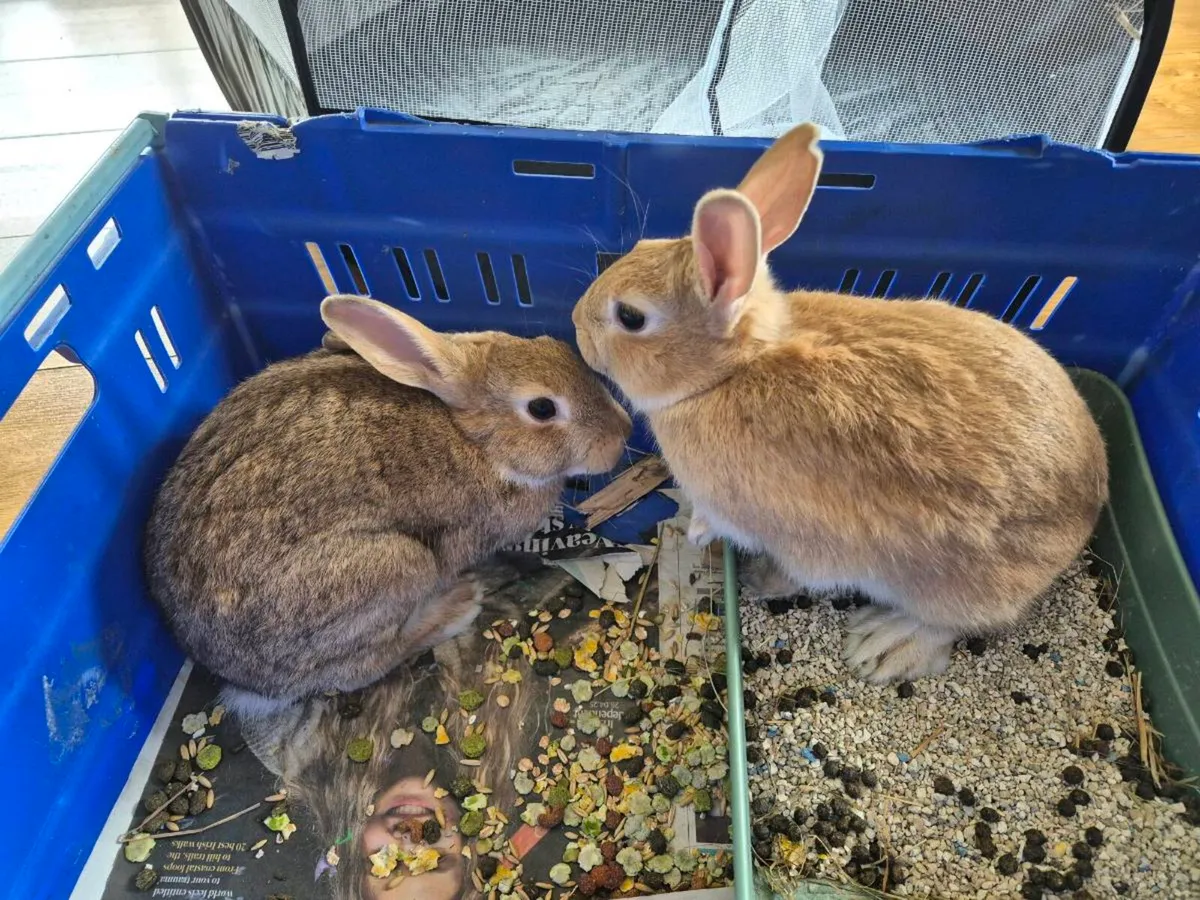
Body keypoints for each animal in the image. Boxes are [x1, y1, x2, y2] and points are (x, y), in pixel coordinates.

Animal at [144, 294, 631, 718]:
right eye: (542, 408)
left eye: (555, 345)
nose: (622, 431)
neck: (478, 441)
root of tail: (234, 677)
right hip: (395, 567)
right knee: (365, 665)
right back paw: (456, 607)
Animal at [572, 123, 1108, 683]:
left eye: (631, 317)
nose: (575, 325)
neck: (730, 370)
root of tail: (1089, 510)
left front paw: (699, 532)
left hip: (947, 589)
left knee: (956, 624)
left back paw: (882, 645)